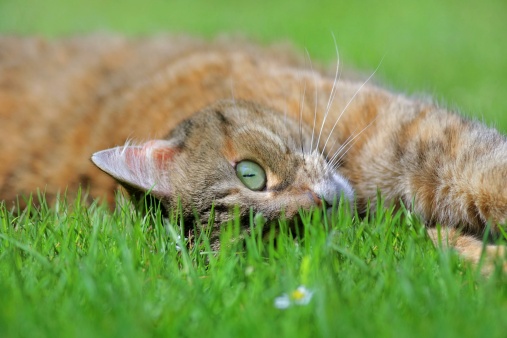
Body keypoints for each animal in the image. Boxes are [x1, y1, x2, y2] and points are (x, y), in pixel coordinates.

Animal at [0, 35, 506, 270]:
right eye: (280, 238)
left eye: (250, 174)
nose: (319, 205)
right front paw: (487, 264)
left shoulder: (410, 135)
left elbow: (487, 176)